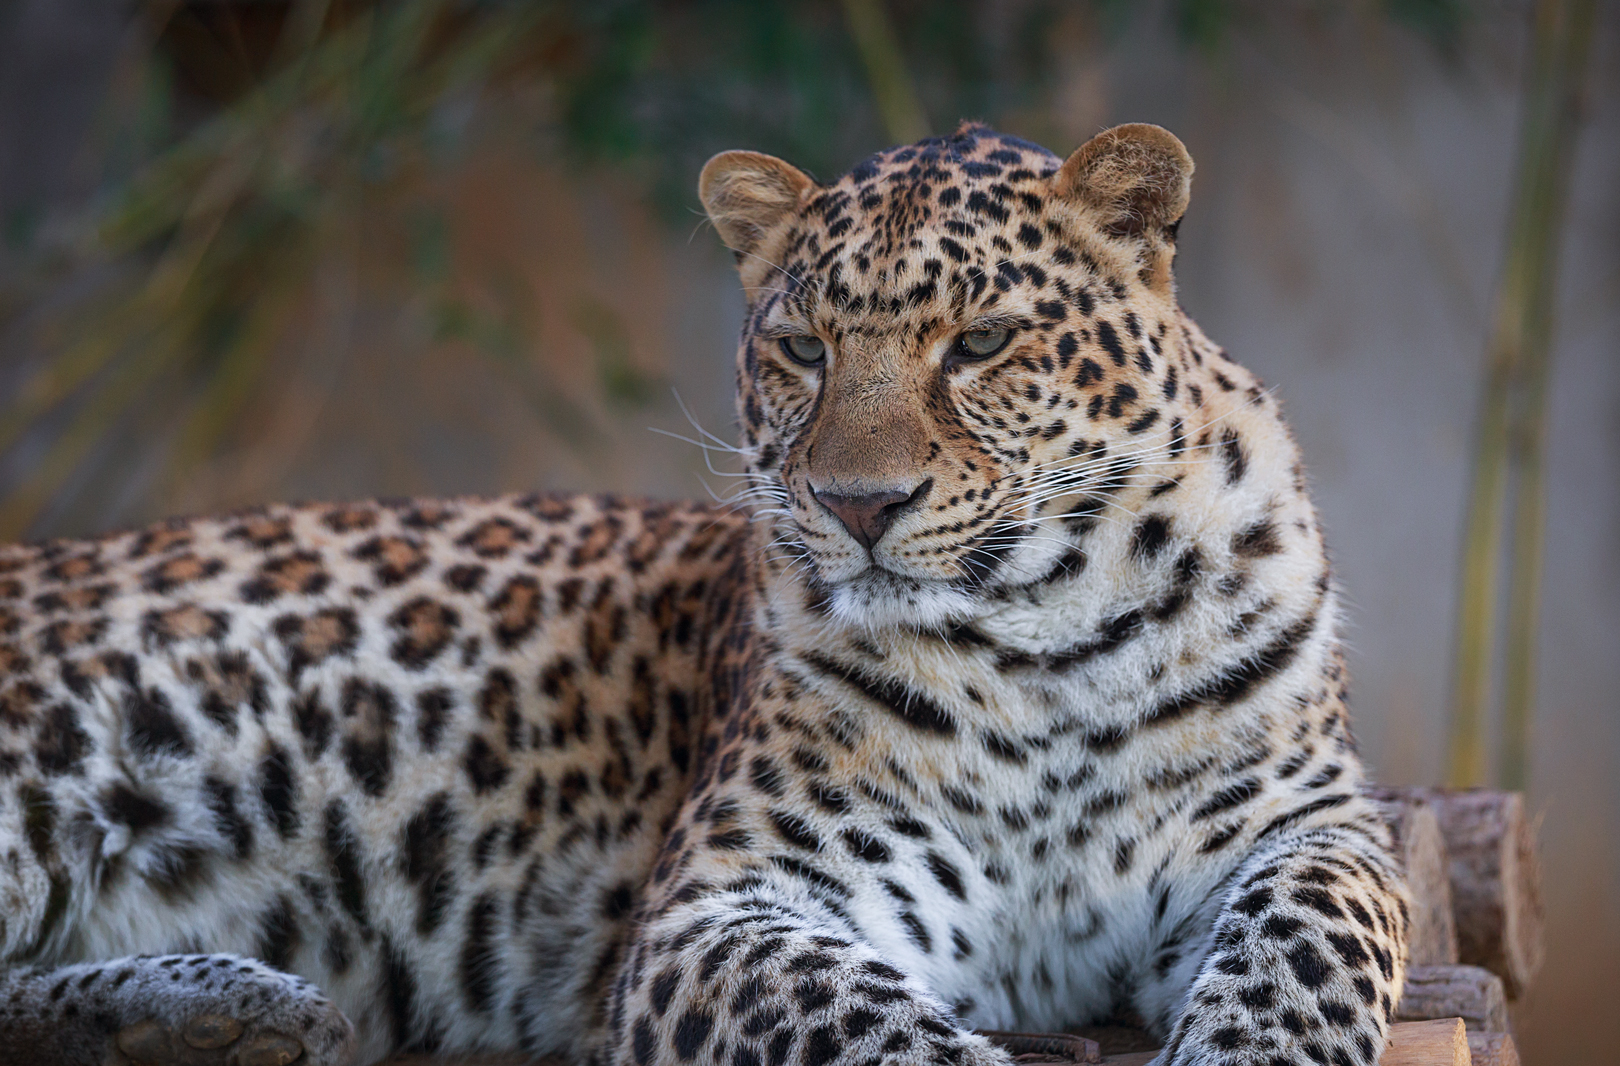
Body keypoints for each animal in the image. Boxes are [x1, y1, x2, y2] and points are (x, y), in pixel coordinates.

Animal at [0, 122, 1408, 1066]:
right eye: (802, 348)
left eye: (983, 343)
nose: (858, 505)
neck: (1043, 637)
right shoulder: (730, 900)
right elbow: (867, 1024)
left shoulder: (1312, 829)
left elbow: (1310, 948)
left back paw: (210, 1015)